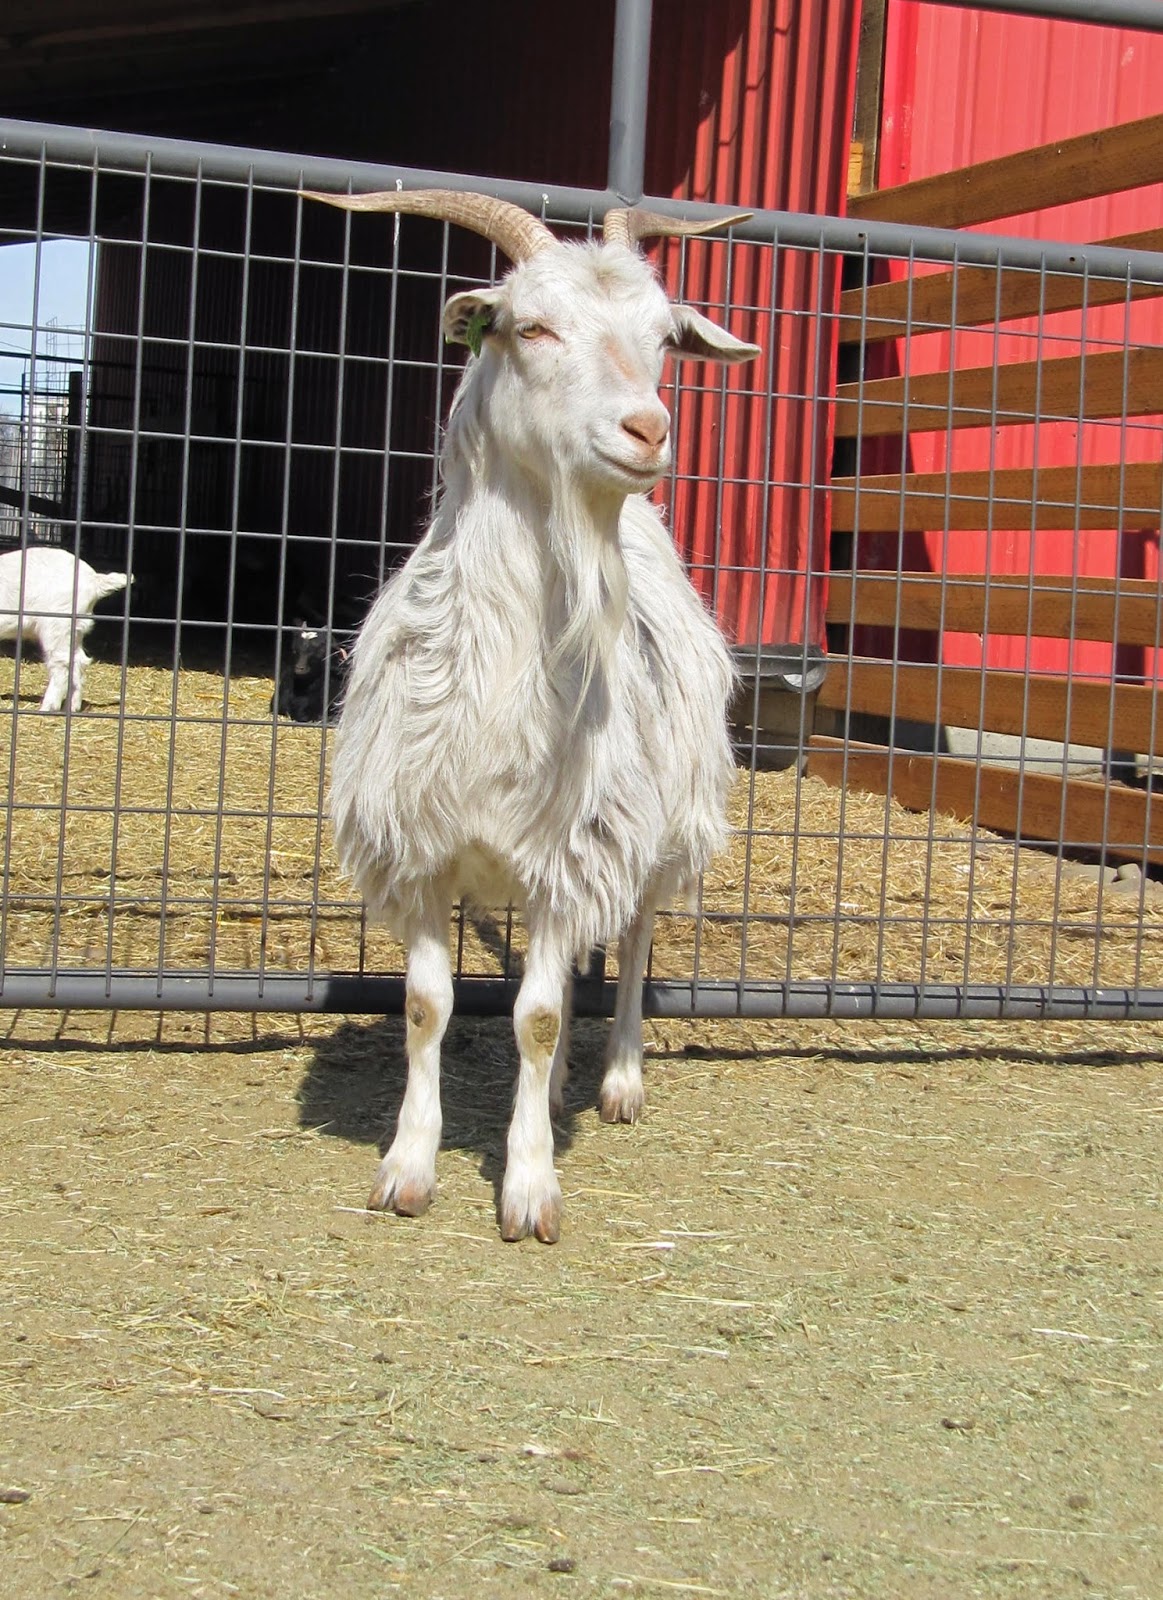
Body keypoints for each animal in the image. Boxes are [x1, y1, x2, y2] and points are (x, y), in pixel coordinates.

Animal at [0, 545, 129, 713]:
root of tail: (94, 580)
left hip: (57, 623)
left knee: (61, 663)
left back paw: (48, 707)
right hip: (75, 628)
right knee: (78, 660)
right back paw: (71, 706)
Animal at [306, 186, 760, 1242]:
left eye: (662, 338)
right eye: (531, 327)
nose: (647, 430)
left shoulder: (574, 849)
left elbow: (543, 1017)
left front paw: (528, 1186)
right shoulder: (424, 846)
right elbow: (429, 1007)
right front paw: (407, 1168)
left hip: (660, 824)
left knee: (632, 940)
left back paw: (618, 1079)